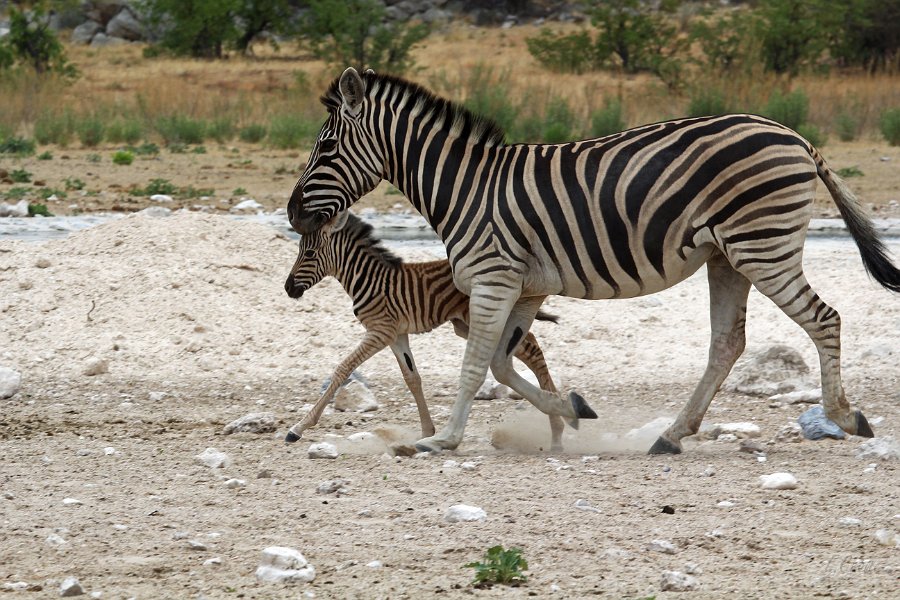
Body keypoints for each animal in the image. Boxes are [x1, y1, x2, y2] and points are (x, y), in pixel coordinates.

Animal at [282, 211, 568, 450]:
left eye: (309, 253)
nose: (287, 288)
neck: (368, 279)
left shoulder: (380, 331)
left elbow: (343, 368)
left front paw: (299, 428)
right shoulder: (396, 334)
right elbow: (412, 378)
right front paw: (427, 430)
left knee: (531, 349)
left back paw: (557, 423)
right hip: (465, 324)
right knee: (527, 348)